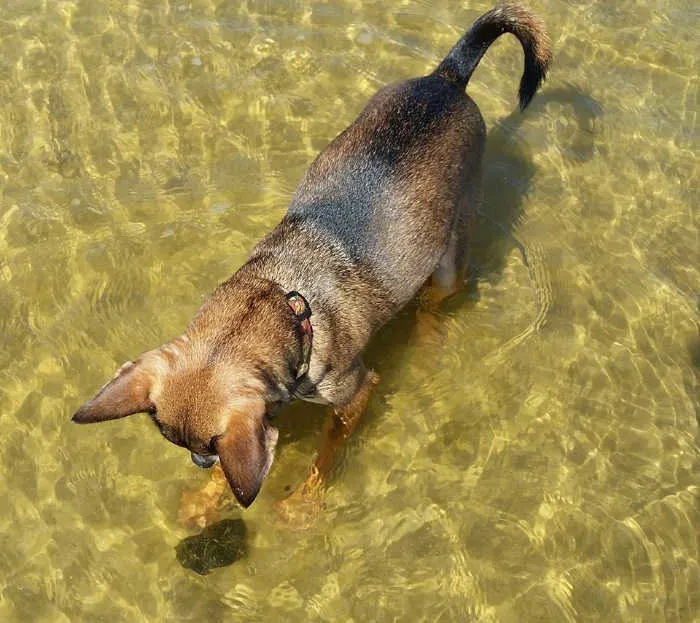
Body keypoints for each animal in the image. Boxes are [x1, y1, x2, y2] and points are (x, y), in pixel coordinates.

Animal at [71, 4, 552, 520]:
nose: (201, 462)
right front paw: (207, 498)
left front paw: (305, 503)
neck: (282, 297)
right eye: (185, 445)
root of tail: (446, 80)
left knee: (434, 303)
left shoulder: (355, 394)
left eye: (207, 446)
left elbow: (326, 453)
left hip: (449, 255)